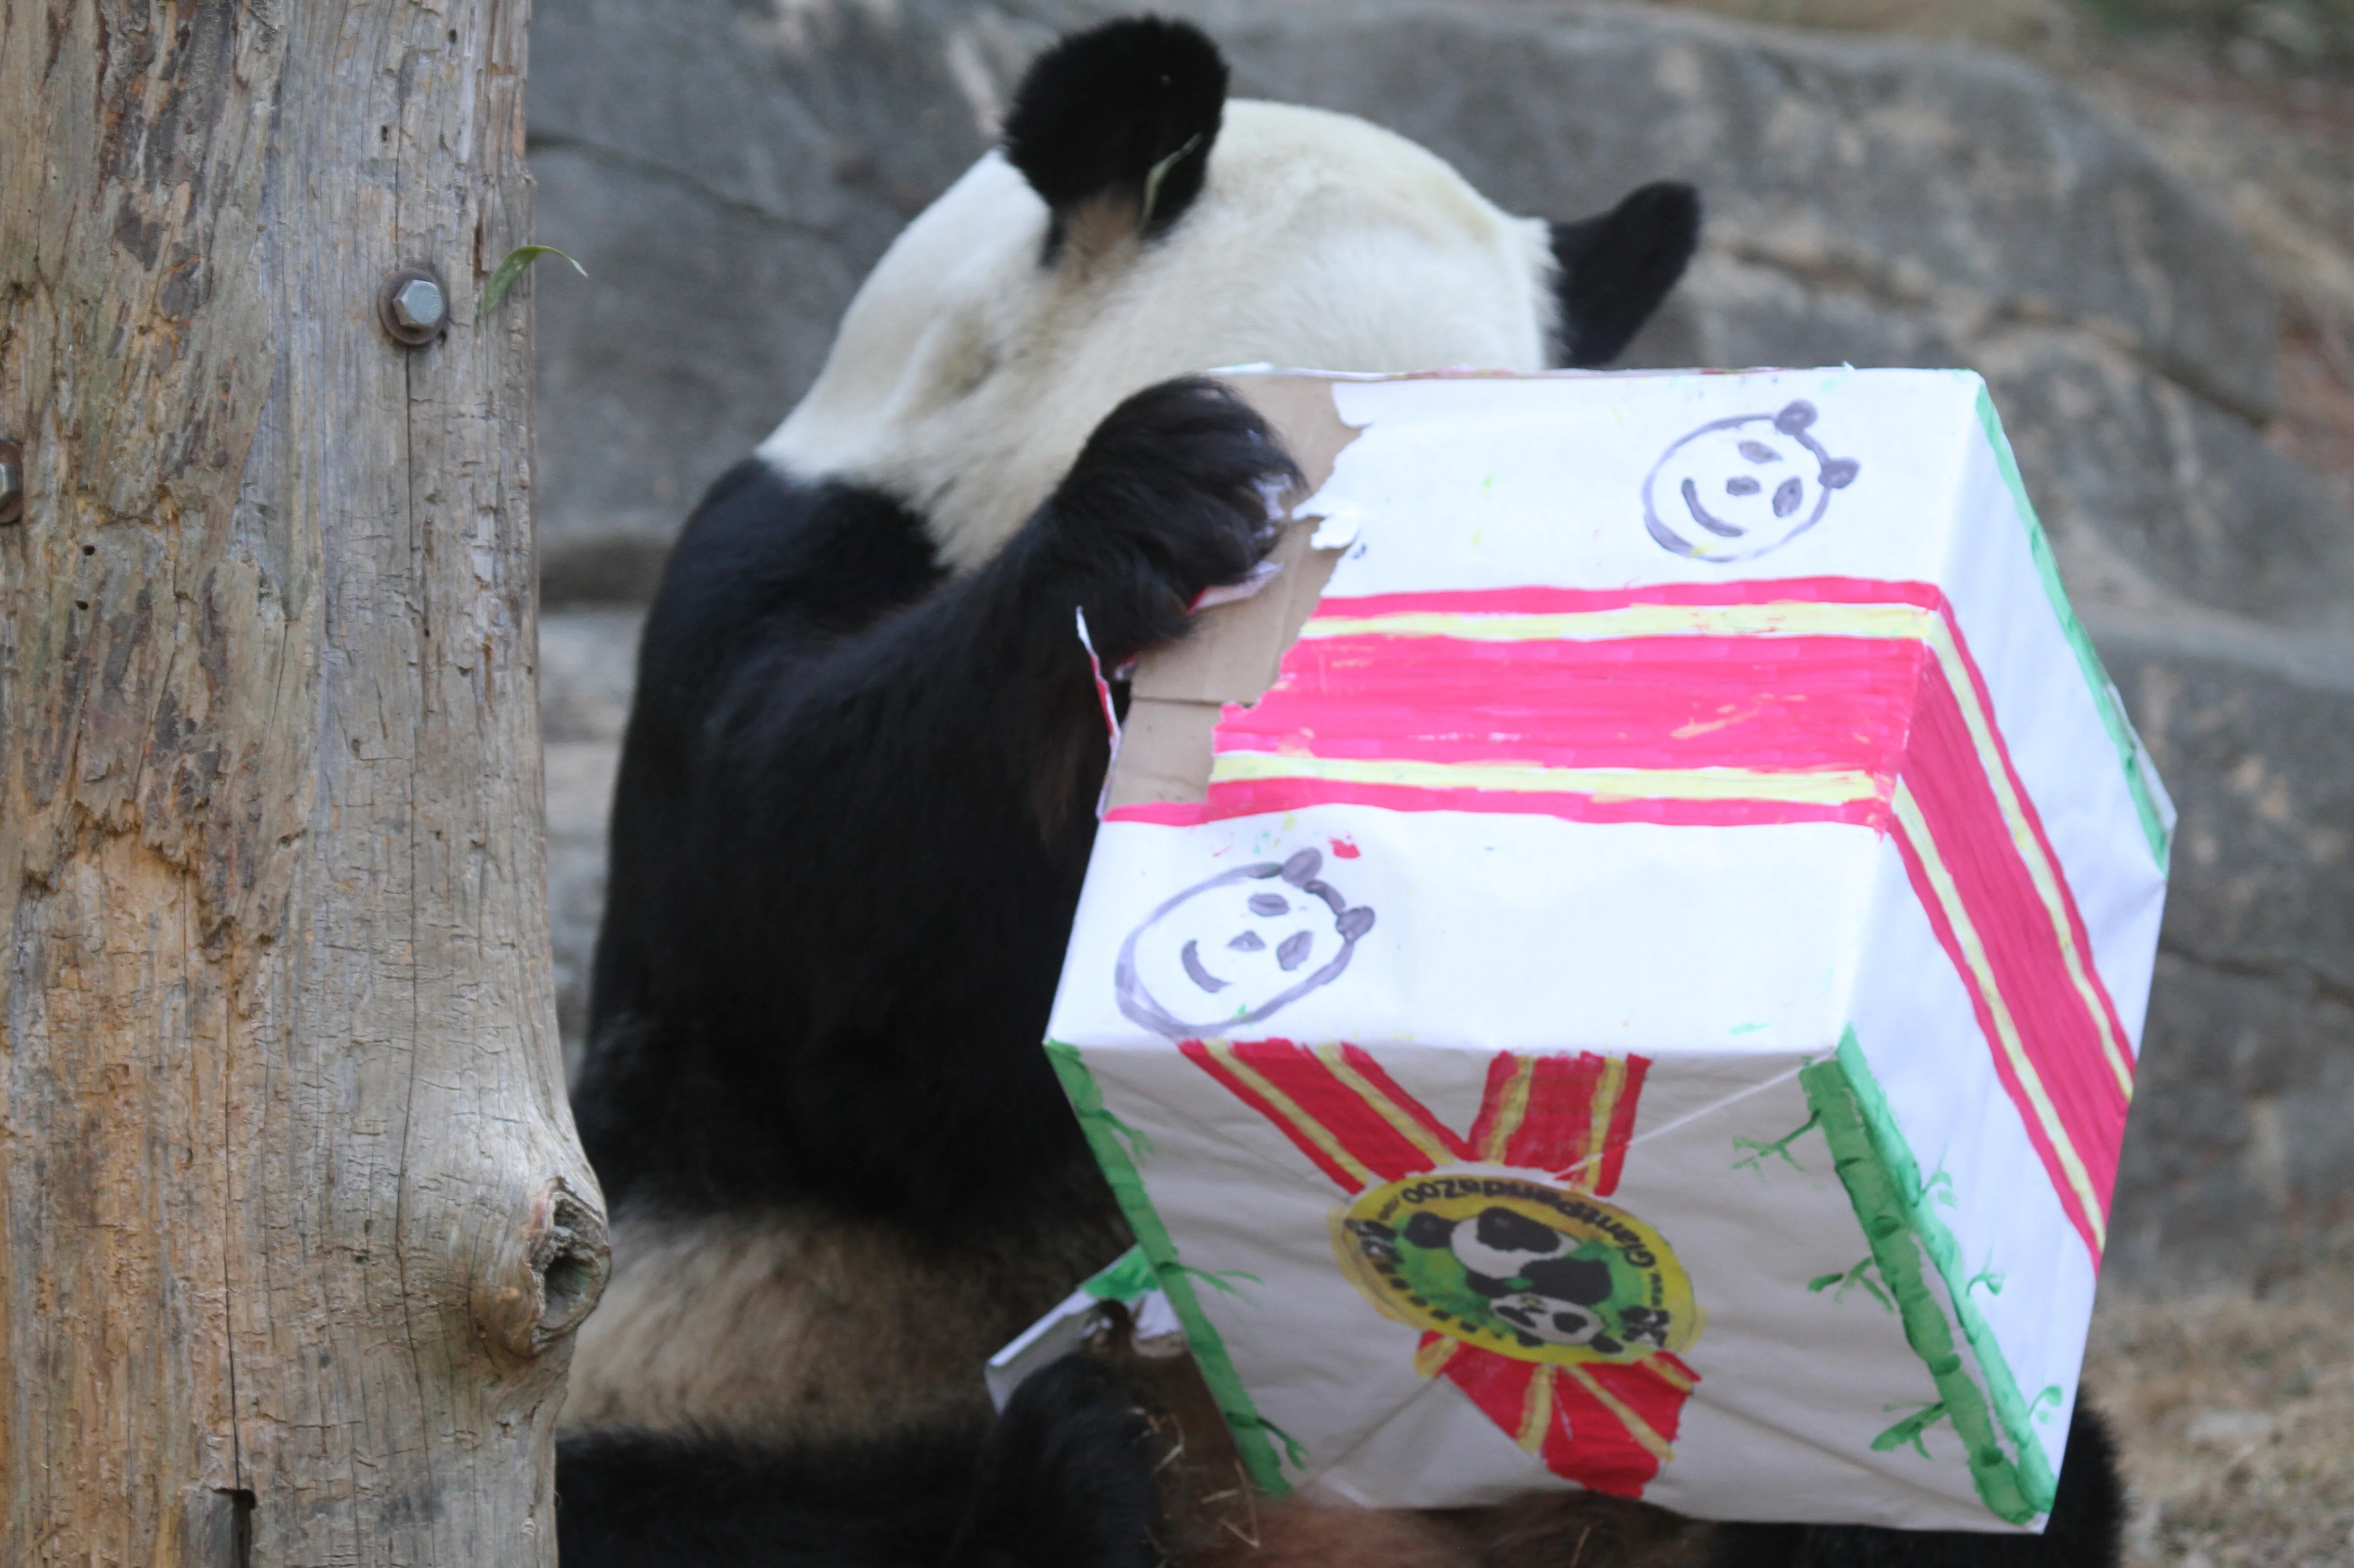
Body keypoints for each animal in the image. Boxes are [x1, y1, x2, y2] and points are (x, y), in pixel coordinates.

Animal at [552, 16, 2125, 1568]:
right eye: (1327, 445)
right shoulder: (782, 571)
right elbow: (814, 932)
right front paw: (1155, 502)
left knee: (2029, 1507)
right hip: (727, 1370)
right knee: (703, 1519)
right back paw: (1063, 1490)